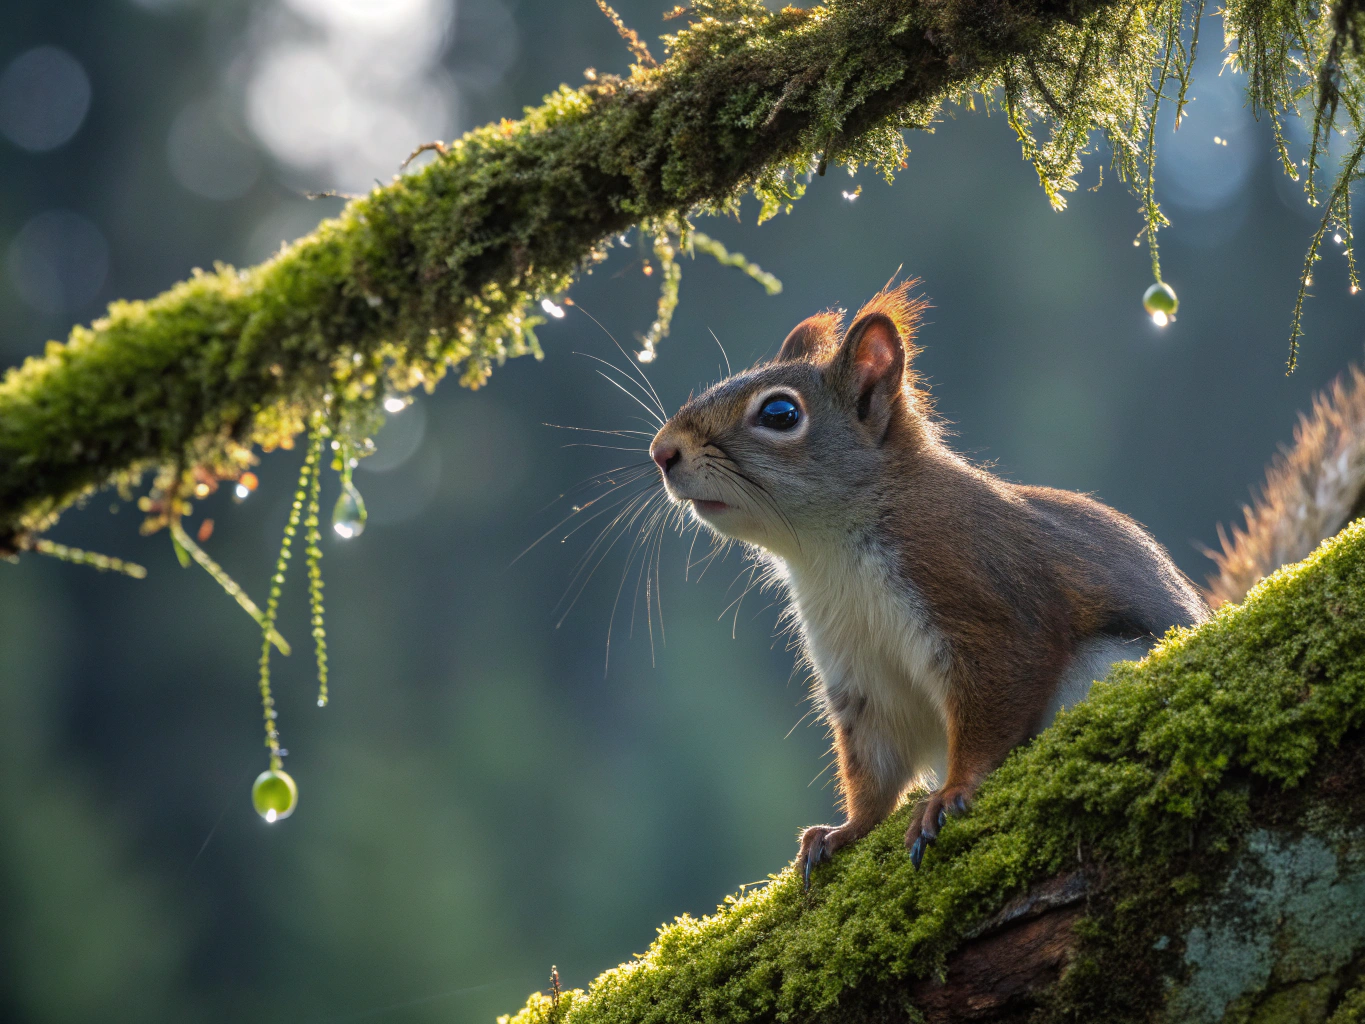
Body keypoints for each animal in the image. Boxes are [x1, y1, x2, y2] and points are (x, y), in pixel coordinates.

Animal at [647, 279, 1365, 883]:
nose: (661, 452)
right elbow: (873, 768)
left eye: (778, 414)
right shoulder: (860, 675)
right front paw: (845, 830)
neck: (829, 554)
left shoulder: (978, 600)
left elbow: (995, 701)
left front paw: (949, 794)